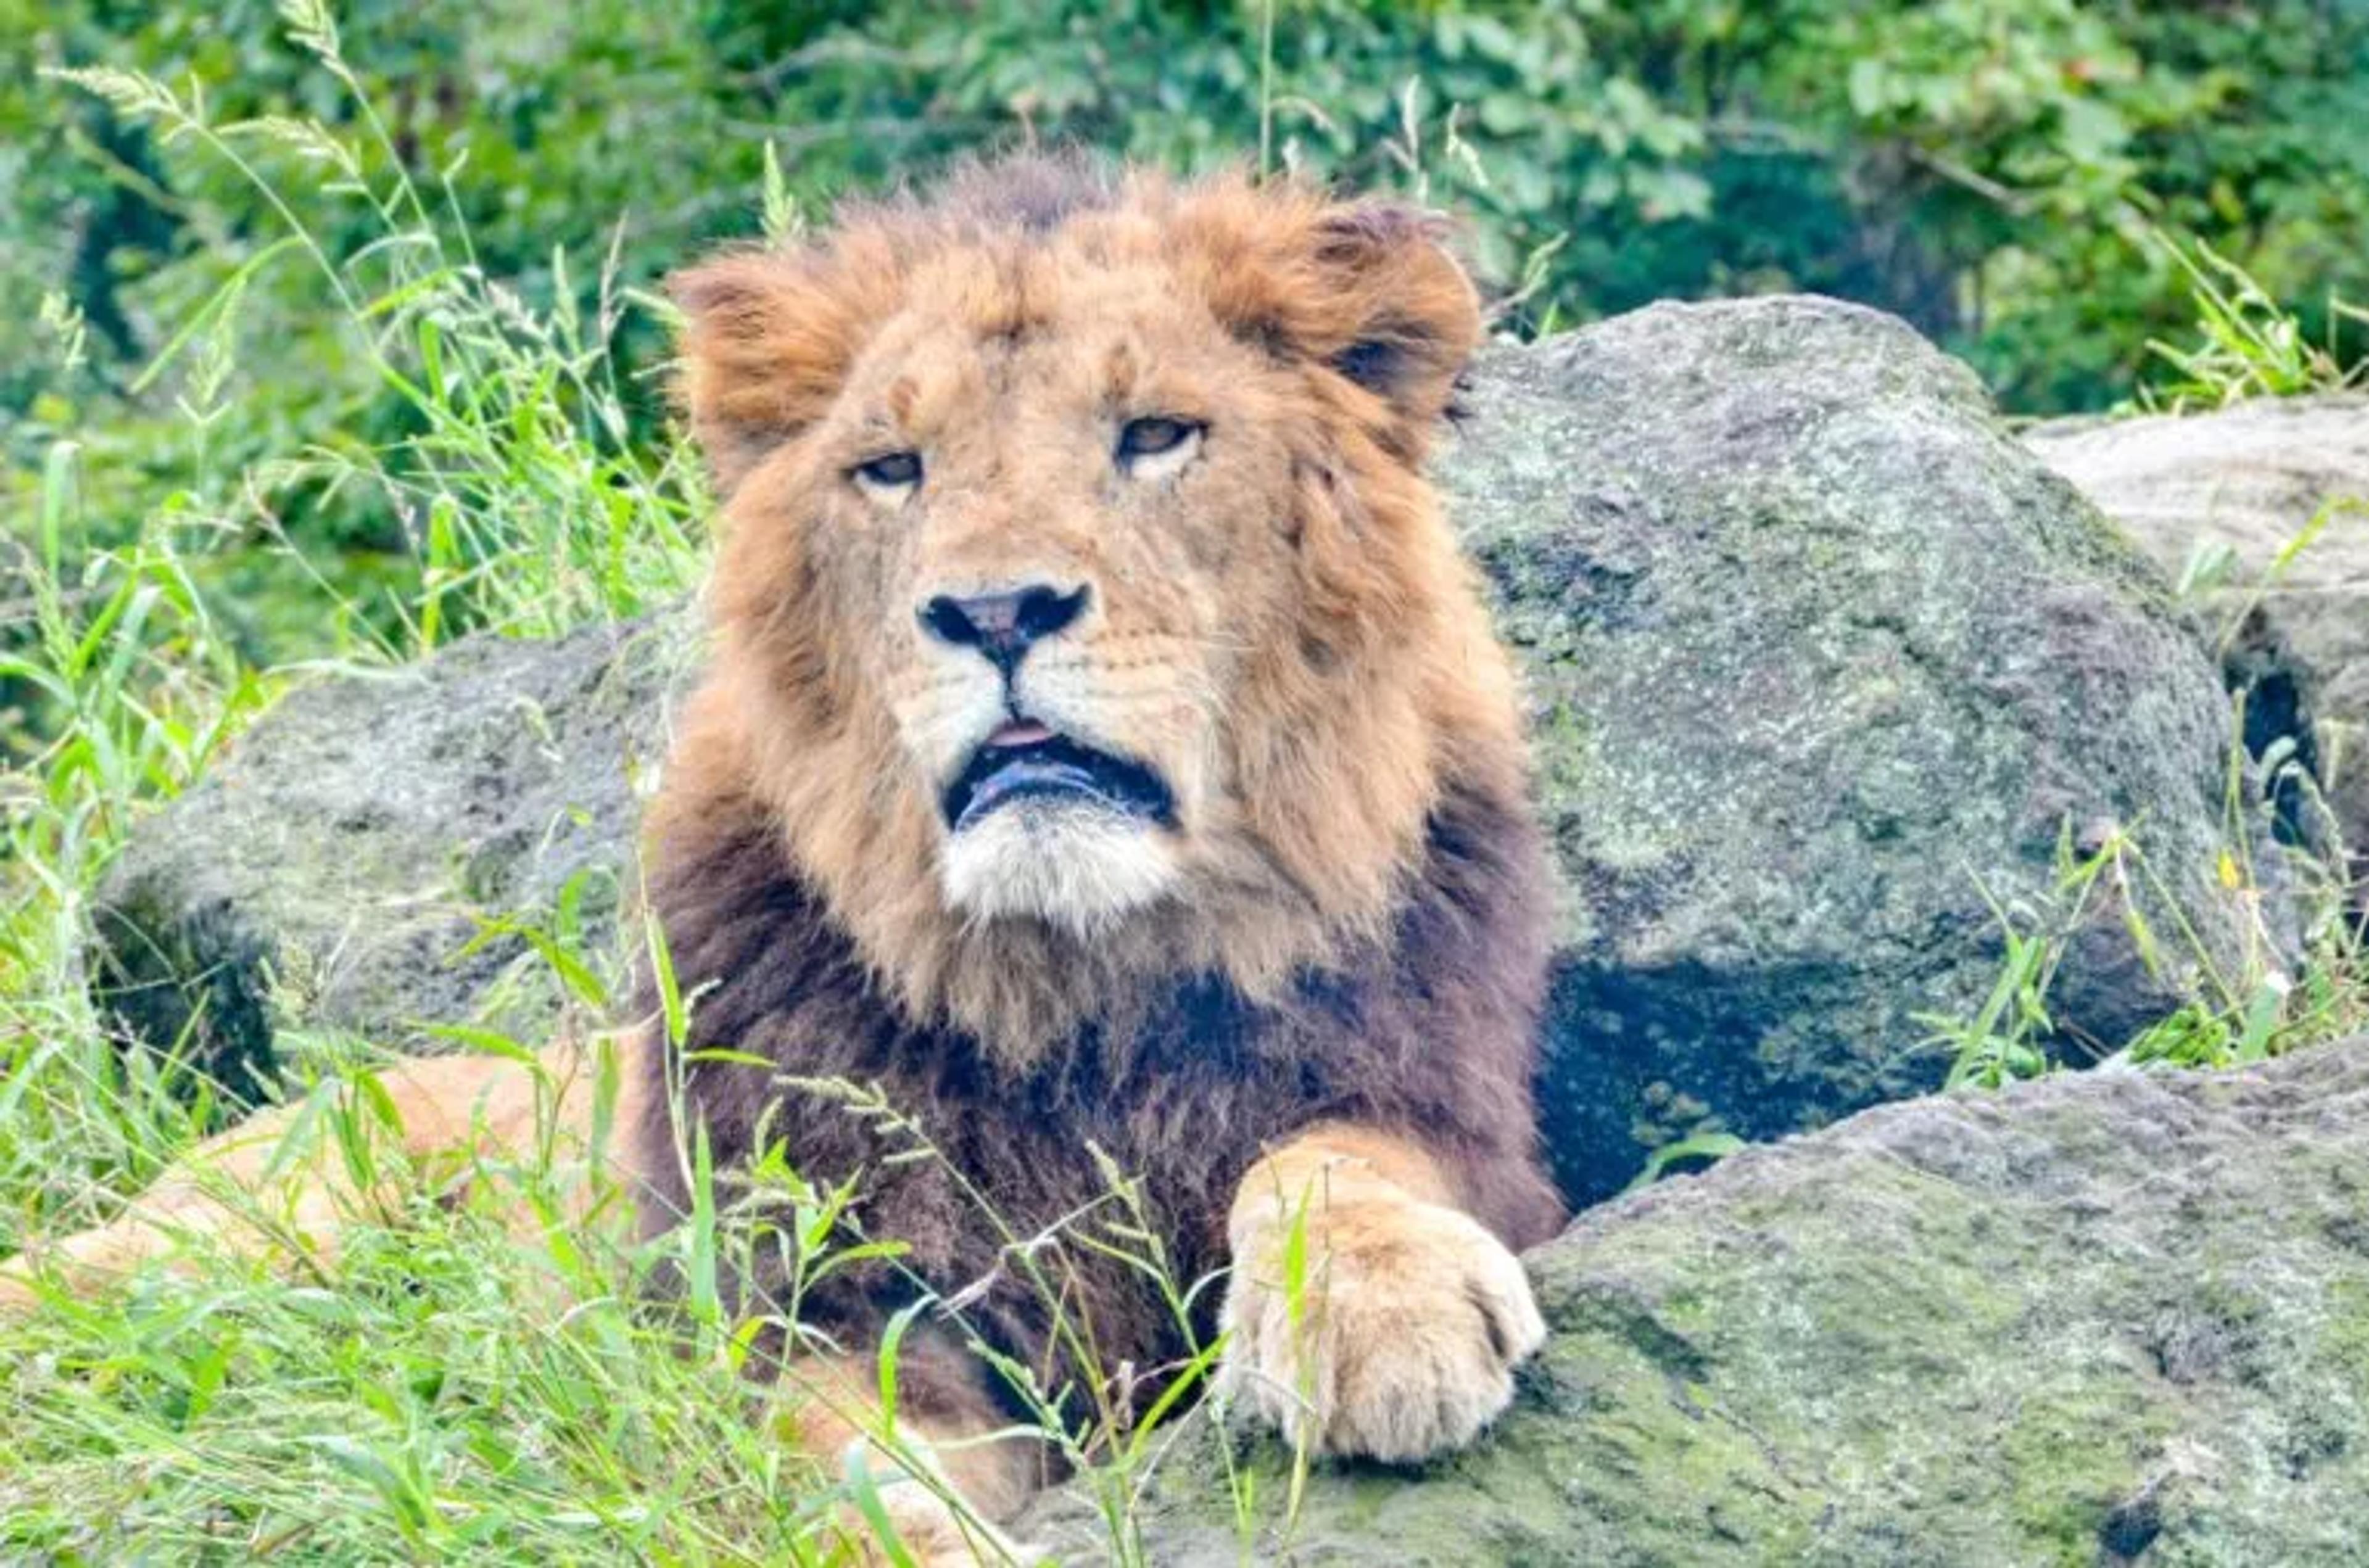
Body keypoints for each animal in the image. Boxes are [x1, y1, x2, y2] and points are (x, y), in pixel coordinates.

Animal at [1, 156, 1567, 1564]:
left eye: (1155, 435)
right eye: (892, 469)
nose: (996, 612)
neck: (1073, 988)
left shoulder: (1451, 1112)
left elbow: (1333, 1159)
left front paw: (1380, 1311)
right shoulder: (809, 1306)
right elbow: (848, 1479)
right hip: (229, 1240)